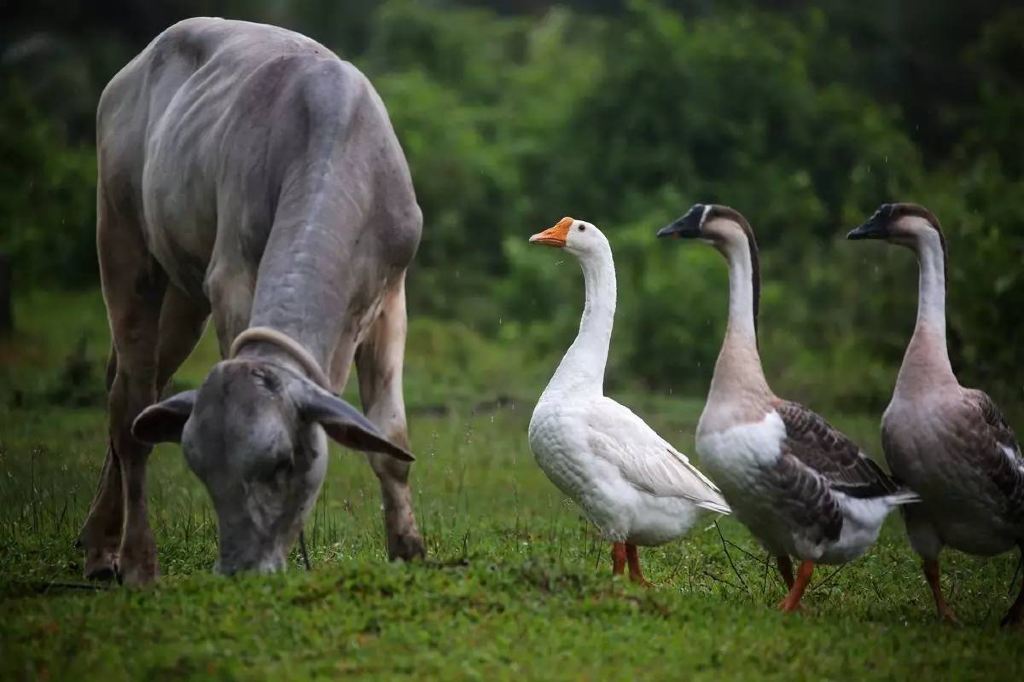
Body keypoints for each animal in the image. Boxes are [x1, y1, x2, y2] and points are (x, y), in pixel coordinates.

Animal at [76, 17, 423, 585]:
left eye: (281, 463)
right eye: (201, 469)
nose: (239, 568)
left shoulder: (391, 293)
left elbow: (391, 439)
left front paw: (408, 552)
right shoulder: (231, 277)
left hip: (184, 299)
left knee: (137, 394)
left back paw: (99, 540)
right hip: (121, 238)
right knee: (129, 408)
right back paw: (130, 559)